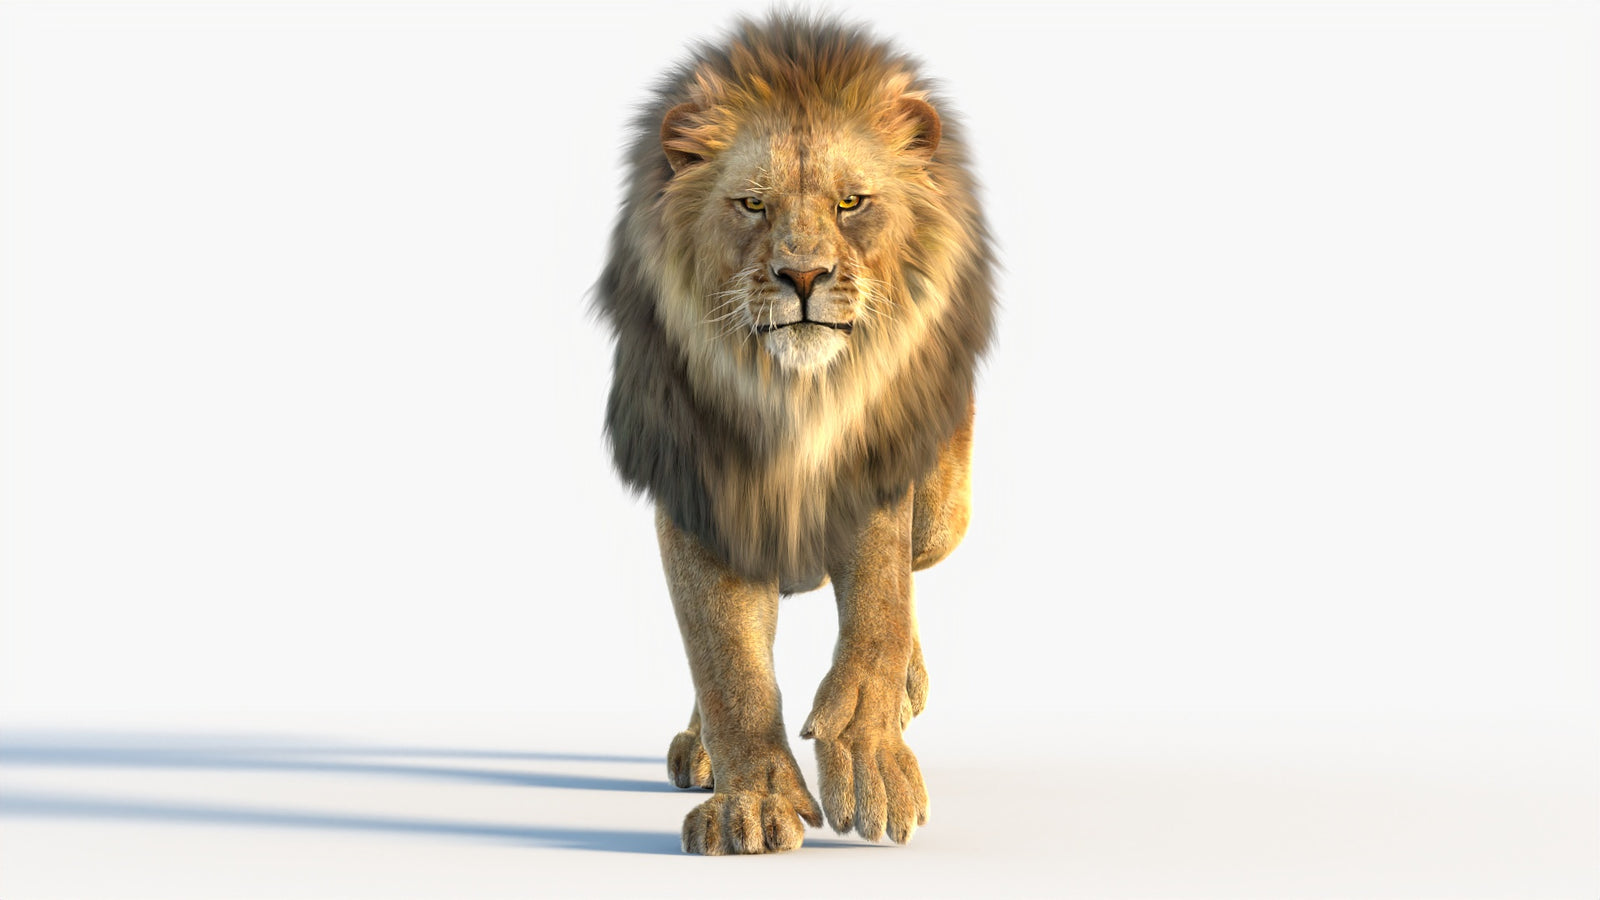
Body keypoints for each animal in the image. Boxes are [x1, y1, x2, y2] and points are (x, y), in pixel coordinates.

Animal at [594, 13, 995, 855]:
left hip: (947, 510)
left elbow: (879, 610)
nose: (803, 276)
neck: (790, 397)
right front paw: (750, 805)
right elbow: (727, 661)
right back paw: (702, 750)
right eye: (752, 204)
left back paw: (908, 690)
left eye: (851, 202)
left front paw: (872, 759)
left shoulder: (876, 469)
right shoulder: (700, 490)